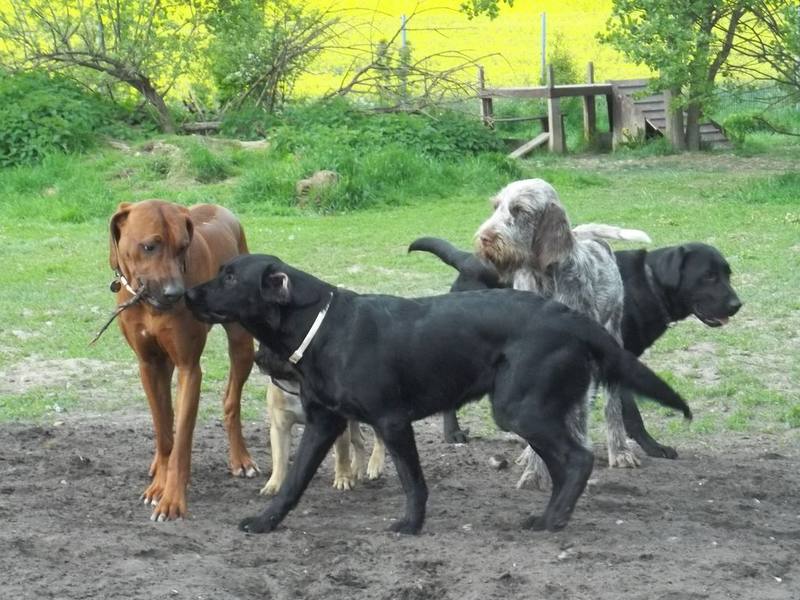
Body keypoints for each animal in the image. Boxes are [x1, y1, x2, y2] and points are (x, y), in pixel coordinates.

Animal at [108, 200, 258, 520]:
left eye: (183, 247)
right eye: (149, 246)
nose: (177, 294)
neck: (148, 304)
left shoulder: (190, 369)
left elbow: (182, 439)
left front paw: (172, 498)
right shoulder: (149, 365)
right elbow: (165, 433)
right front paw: (158, 485)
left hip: (242, 345)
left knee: (231, 400)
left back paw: (241, 459)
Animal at [253, 343, 385, 495]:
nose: (258, 356)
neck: (297, 382)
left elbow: (342, 453)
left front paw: (343, 479)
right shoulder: (280, 428)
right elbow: (279, 458)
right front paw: (274, 484)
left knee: (379, 436)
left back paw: (375, 465)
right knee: (359, 439)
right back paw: (356, 469)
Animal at [409, 237, 742, 458]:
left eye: (727, 274)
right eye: (708, 276)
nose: (737, 305)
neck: (649, 283)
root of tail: (468, 260)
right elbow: (631, 414)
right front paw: (652, 447)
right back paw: (453, 432)